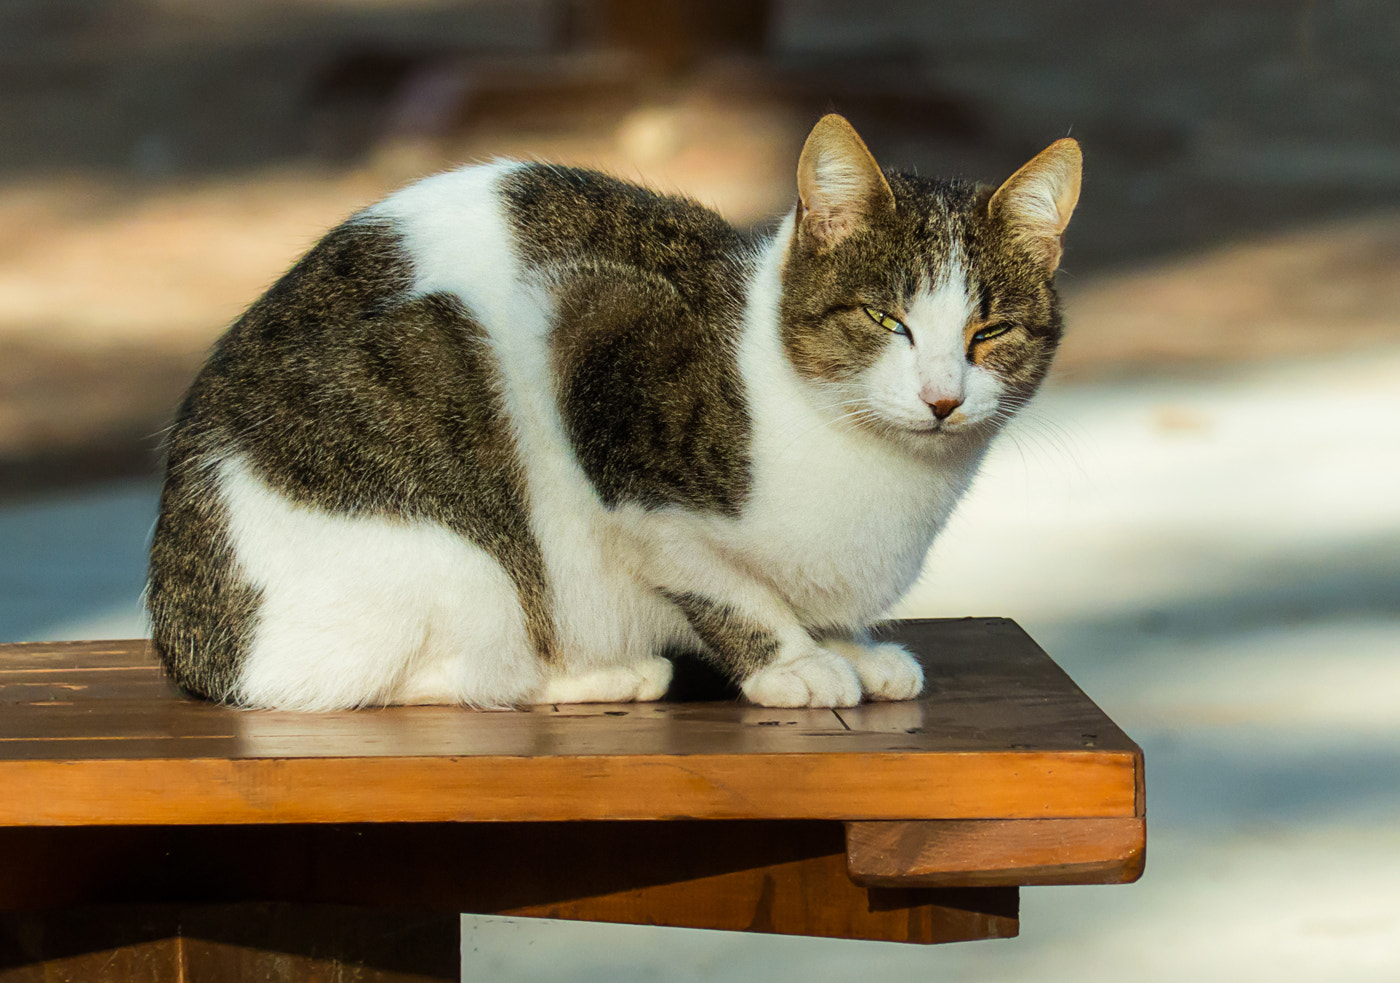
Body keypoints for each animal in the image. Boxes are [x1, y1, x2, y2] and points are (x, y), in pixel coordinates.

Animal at [144, 115, 1080, 711]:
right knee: (432, 678)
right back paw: (595, 676)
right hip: (452, 545)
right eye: (889, 320)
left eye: (990, 331)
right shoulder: (593, 344)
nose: (942, 398)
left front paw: (846, 643)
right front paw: (795, 662)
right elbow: (720, 579)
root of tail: (188, 637)